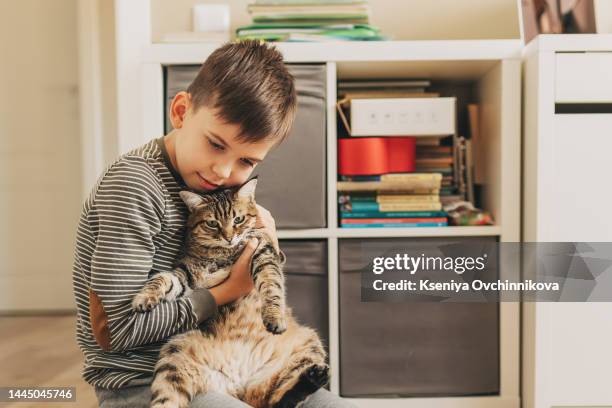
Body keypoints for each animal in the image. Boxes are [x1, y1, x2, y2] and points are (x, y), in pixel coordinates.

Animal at [131, 179, 328, 408]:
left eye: (238, 219)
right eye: (212, 223)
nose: (229, 238)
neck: (220, 253)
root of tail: (237, 379)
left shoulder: (263, 252)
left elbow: (270, 284)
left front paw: (273, 317)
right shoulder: (186, 277)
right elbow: (162, 279)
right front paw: (144, 298)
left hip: (310, 343)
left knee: (276, 399)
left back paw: (315, 377)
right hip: (174, 356)